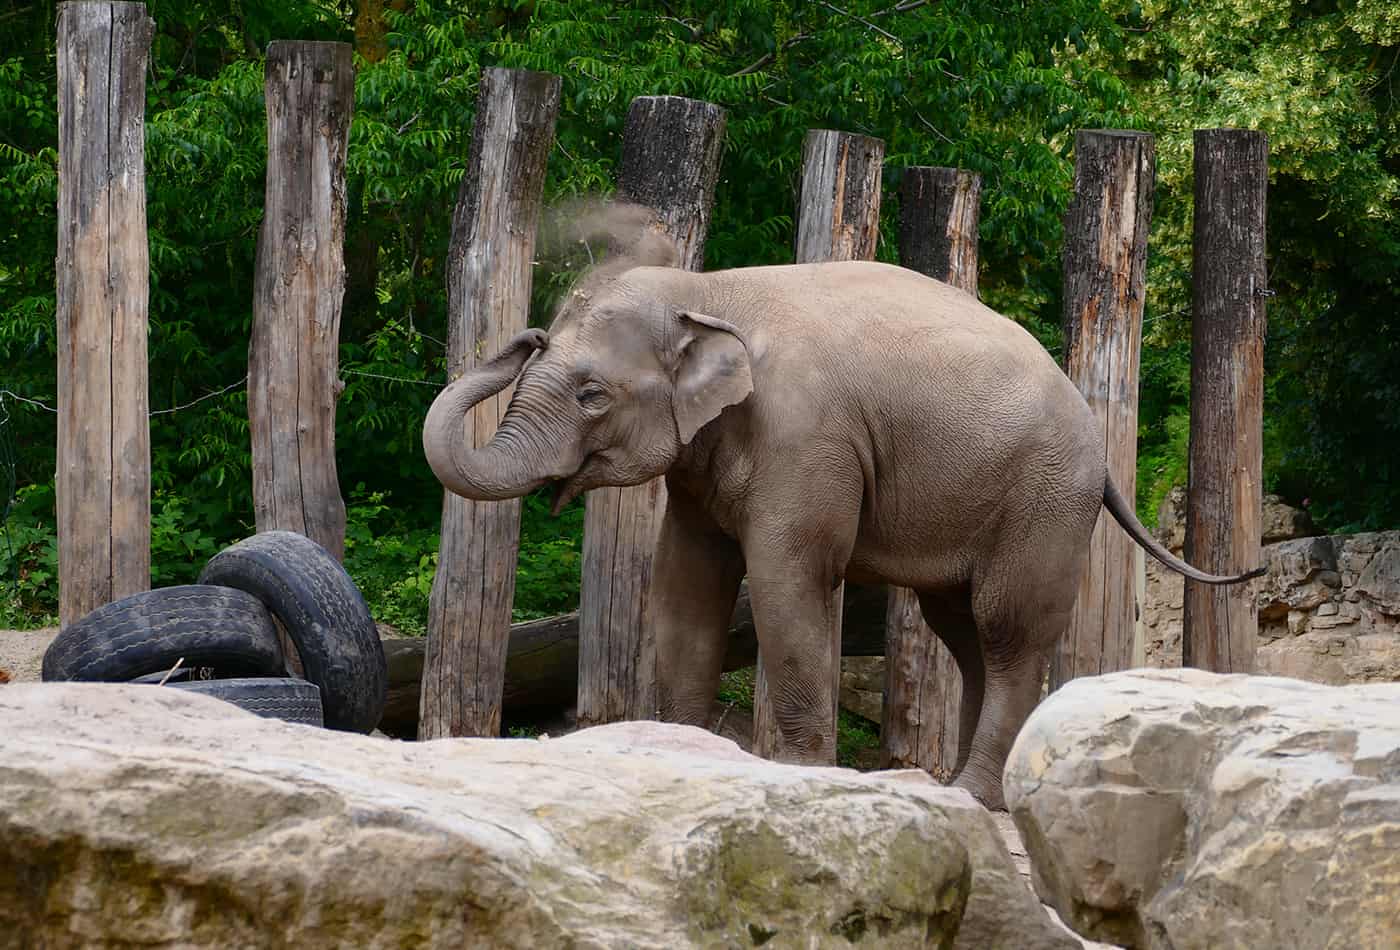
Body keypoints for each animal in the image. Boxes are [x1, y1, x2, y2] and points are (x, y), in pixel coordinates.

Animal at [420, 230, 1265, 811]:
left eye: (592, 395)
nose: (524, 334)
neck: (710, 288)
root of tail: (1097, 432)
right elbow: (685, 586)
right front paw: (688, 750)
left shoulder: (807, 436)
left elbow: (787, 578)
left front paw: (795, 774)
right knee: (962, 631)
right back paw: (954, 786)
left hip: (1046, 496)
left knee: (1008, 630)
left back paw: (973, 795)